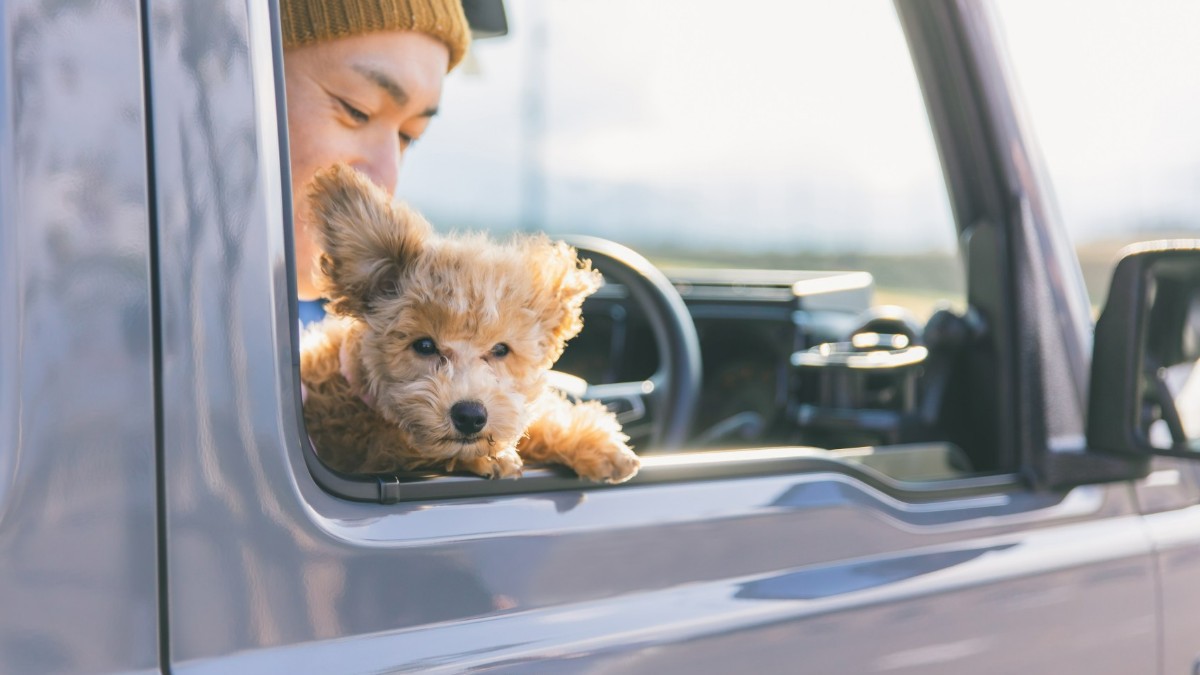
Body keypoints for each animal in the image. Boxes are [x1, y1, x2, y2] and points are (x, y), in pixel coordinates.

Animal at [297, 164, 638, 480]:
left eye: (501, 350)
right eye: (424, 345)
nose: (471, 416)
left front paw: (595, 443)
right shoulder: (367, 447)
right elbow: (406, 445)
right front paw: (490, 457)